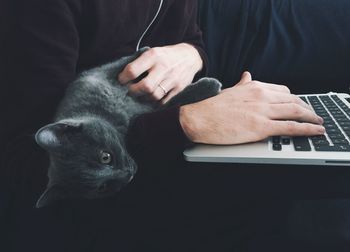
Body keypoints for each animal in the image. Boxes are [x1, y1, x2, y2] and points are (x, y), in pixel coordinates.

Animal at [34, 47, 221, 209]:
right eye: (102, 188)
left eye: (105, 157)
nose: (127, 175)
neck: (101, 112)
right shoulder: (145, 114)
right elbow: (172, 104)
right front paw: (208, 86)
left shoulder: (89, 77)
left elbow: (113, 67)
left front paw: (142, 52)